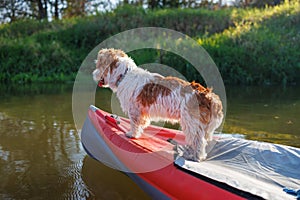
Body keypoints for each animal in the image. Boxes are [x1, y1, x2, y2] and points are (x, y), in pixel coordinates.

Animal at [92, 48, 224, 161]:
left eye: (98, 64)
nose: (93, 73)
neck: (124, 75)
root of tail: (207, 94)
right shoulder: (142, 113)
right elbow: (141, 123)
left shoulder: (134, 110)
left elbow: (134, 124)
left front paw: (131, 134)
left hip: (191, 123)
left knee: (198, 142)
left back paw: (195, 156)